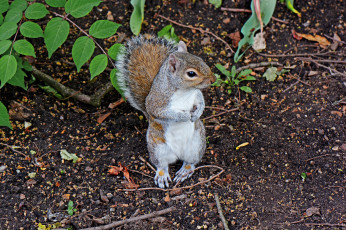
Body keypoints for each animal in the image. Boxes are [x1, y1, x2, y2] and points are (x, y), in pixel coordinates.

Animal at [115, 34, 215, 189]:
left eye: (201, 60)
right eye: (191, 73)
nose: (213, 79)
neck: (184, 91)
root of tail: (178, 154)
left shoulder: (196, 94)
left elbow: (200, 102)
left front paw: (197, 113)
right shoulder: (157, 103)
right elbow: (165, 114)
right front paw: (184, 115)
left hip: (196, 144)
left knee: (190, 161)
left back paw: (185, 171)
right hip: (158, 148)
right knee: (162, 165)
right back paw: (162, 175)